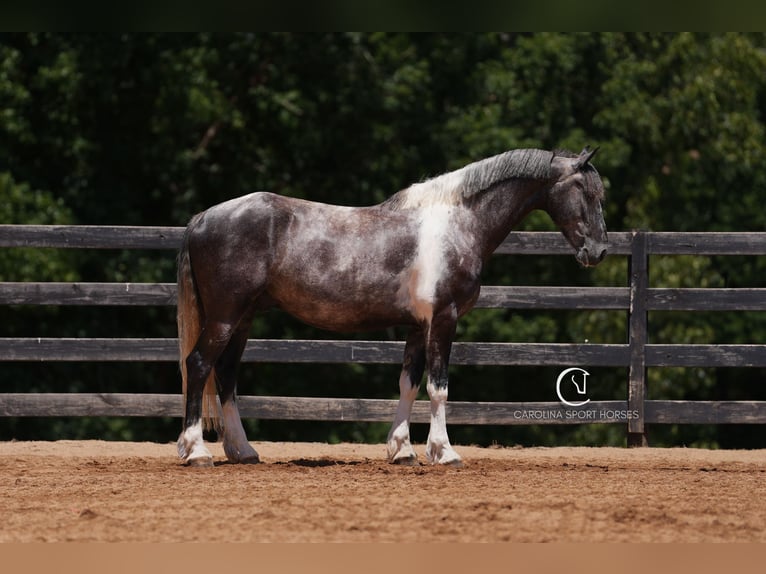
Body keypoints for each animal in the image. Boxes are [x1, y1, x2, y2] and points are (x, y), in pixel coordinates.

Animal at [176, 146, 608, 467]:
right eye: (586, 193)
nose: (599, 252)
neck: (458, 223)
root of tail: (201, 218)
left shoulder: (418, 325)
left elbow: (408, 382)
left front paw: (402, 450)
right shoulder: (444, 318)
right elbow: (438, 386)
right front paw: (445, 452)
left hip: (242, 318)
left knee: (226, 375)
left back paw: (243, 451)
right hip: (225, 317)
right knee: (199, 365)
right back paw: (197, 451)